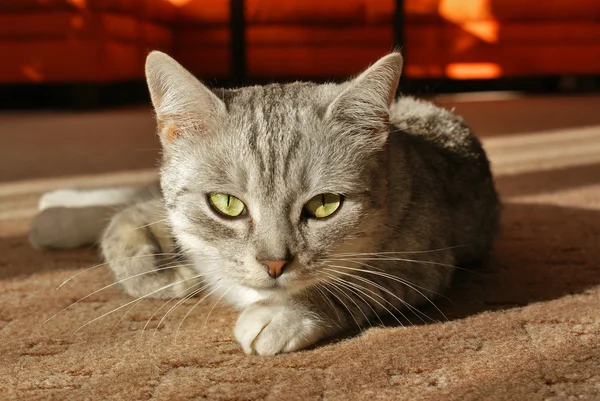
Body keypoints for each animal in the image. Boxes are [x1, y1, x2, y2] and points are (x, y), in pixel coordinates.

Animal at [32, 50, 502, 354]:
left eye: (325, 205)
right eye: (226, 203)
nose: (275, 264)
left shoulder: (418, 263)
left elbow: (346, 287)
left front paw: (282, 314)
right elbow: (132, 227)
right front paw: (156, 272)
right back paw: (56, 210)